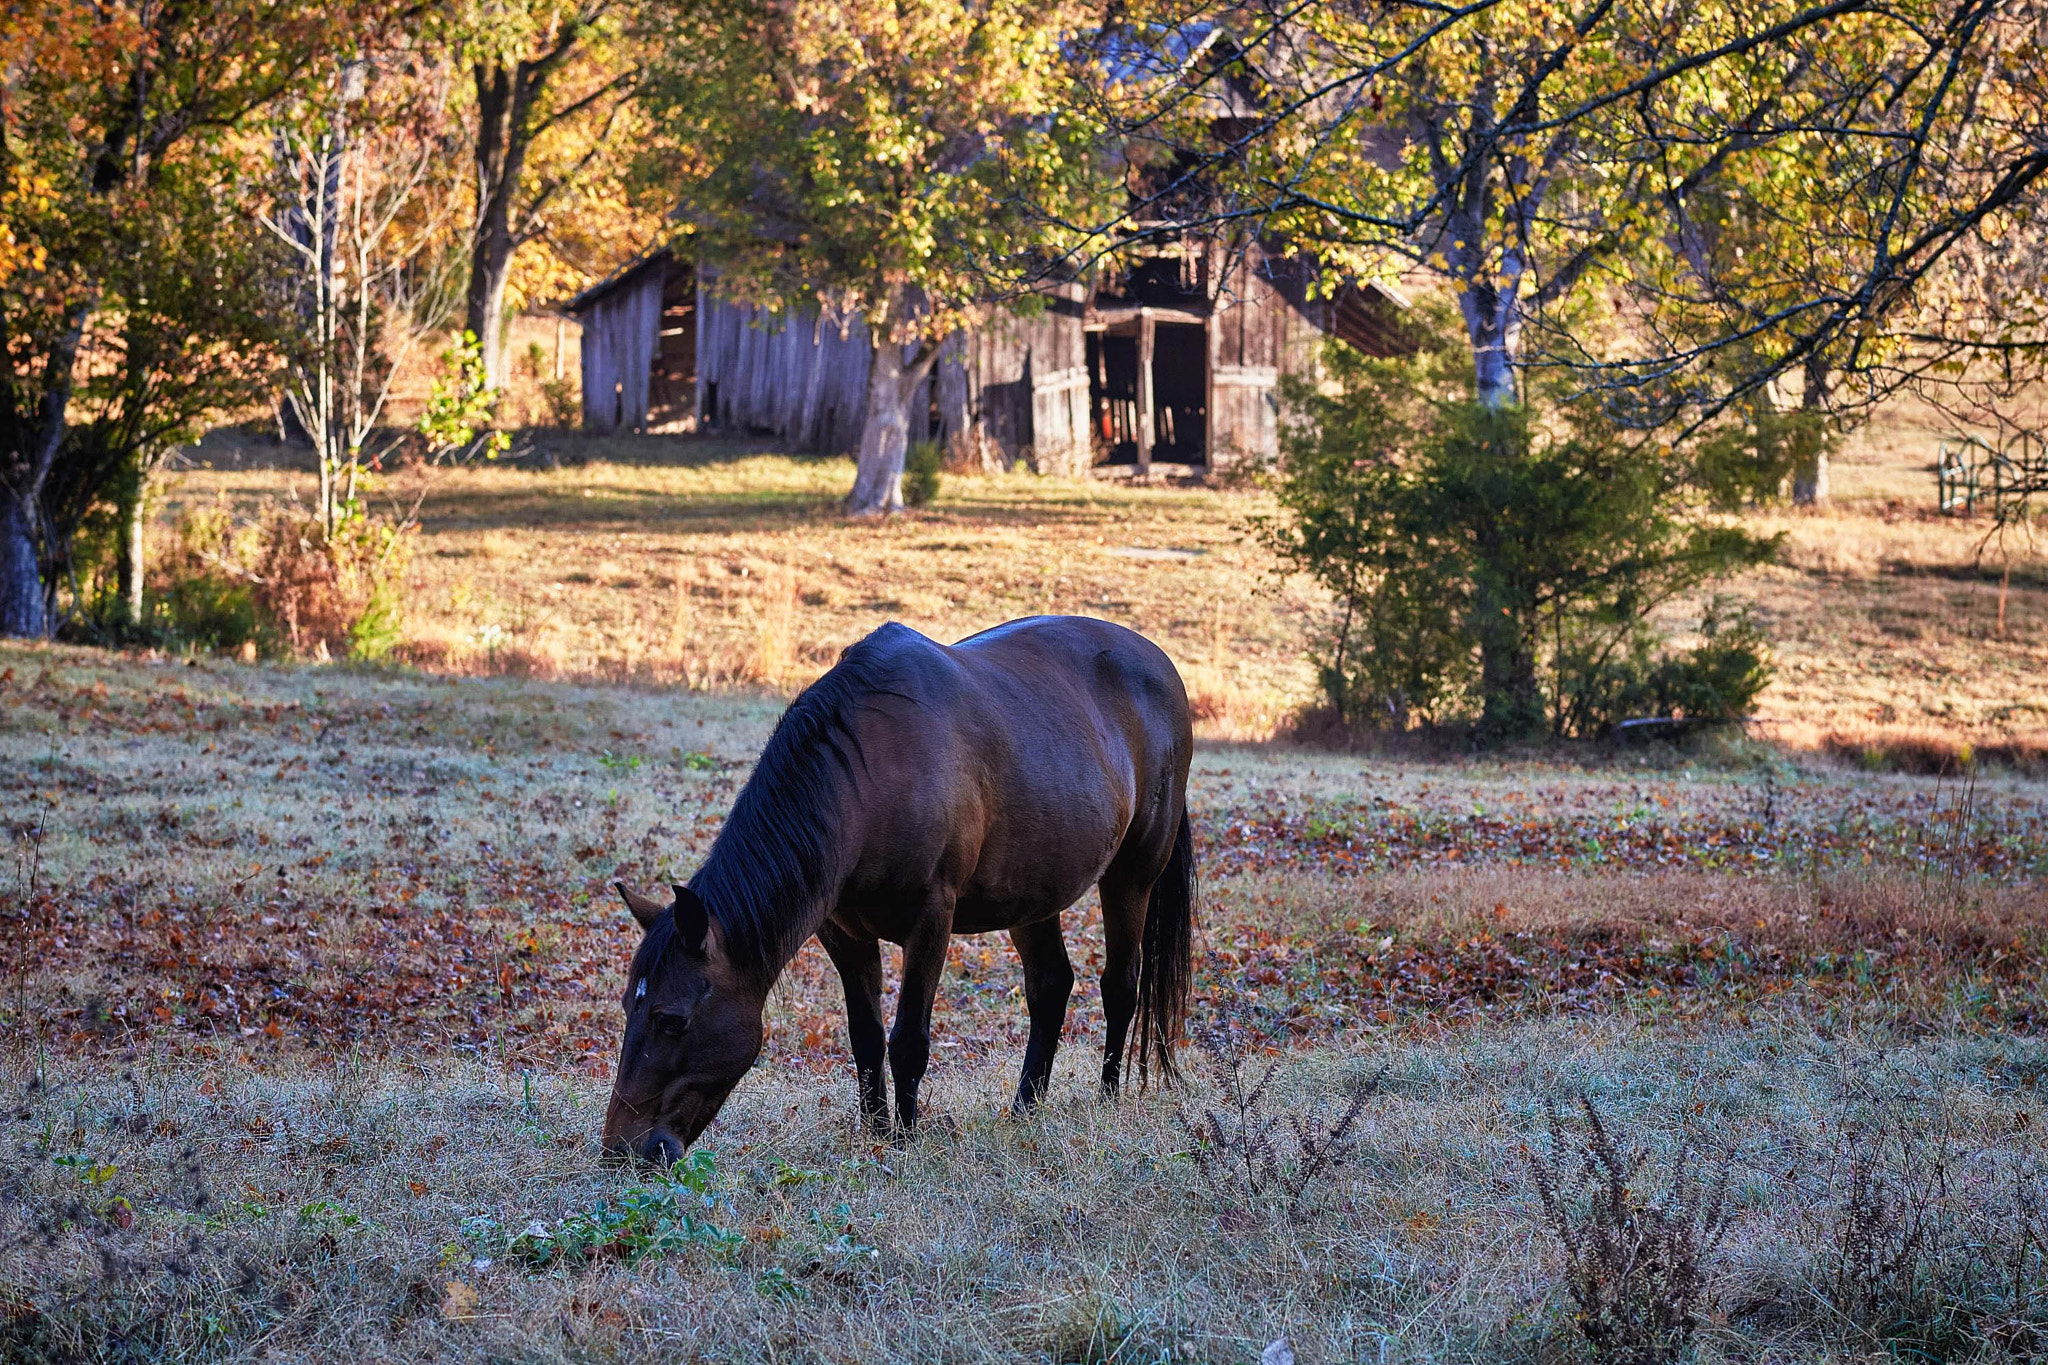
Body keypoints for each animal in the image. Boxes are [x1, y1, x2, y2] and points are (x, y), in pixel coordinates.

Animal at [598, 618, 1196, 1162]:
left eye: (671, 1020)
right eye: (629, 1005)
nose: (620, 1152)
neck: (867, 781)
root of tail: (1159, 662)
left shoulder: (931, 922)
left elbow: (907, 1040)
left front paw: (906, 1141)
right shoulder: (843, 935)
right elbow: (865, 1037)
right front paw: (876, 1132)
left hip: (1132, 876)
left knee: (1120, 985)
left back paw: (1108, 1099)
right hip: (1033, 894)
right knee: (1051, 985)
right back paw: (1025, 1110)